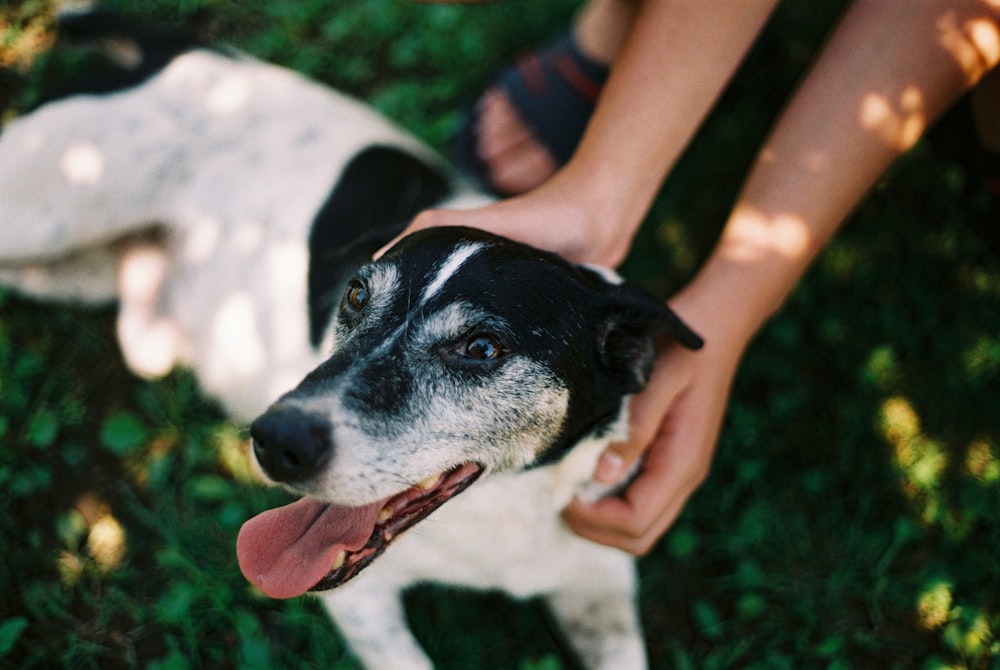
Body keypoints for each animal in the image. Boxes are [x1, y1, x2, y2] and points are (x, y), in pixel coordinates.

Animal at [0, 11, 704, 670]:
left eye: (482, 349)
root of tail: (184, 53)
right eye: (357, 295)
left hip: (75, 275)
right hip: (42, 211)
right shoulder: (359, 598)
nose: (275, 441)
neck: (503, 517)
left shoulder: (599, 588)